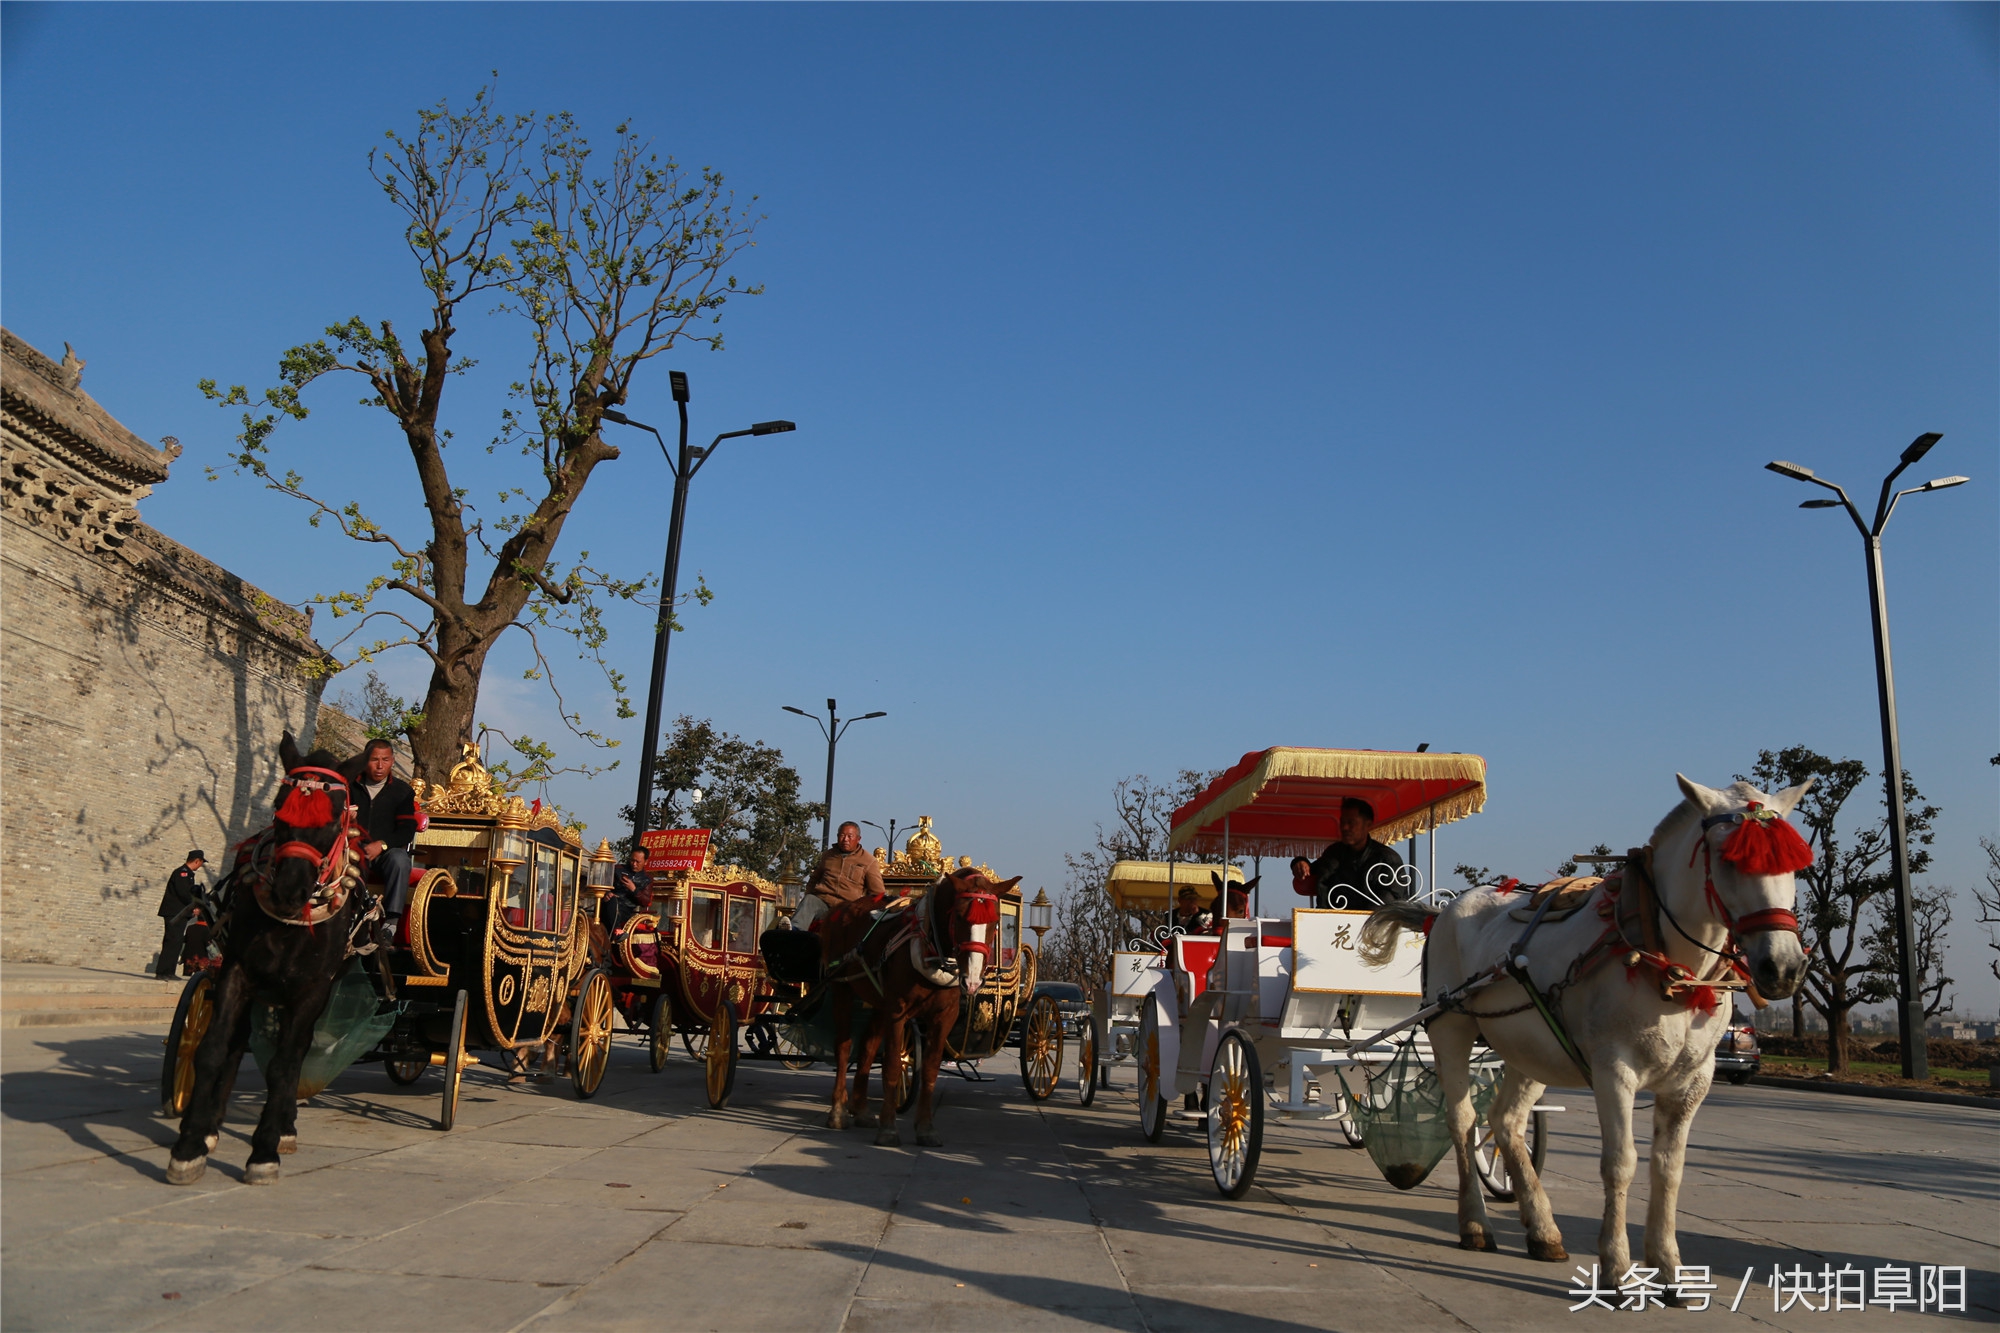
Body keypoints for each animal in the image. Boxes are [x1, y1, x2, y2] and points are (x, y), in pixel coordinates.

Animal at [166, 732, 366, 1176]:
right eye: (278, 807)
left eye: (335, 818)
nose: (289, 890)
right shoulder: (237, 972)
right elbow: (213, 1050)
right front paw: (190, 1144)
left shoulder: (311, 989)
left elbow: (284, 1064)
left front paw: (264, 1149)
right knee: (237, 1042)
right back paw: (211, 1124)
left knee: (295, 1054)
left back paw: (284, 1127)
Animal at [820, 860, 1024, 1144]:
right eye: (959, 916)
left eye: (995, 922)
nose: (972, 979)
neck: (933, 949)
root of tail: (842, 909)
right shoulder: (898, 1011)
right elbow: (893, 1065)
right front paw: (888, 1128)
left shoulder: (944, 1016)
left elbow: (930, 1069)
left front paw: (926, 1128)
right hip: (842, 988)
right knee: (843, 1046)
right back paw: (838, 1110)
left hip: (878, 1002)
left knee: (867, 1048)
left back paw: (861, 1110)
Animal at [1360, 772, 1816, 1280]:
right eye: (1730, 859)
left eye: (1794, 864)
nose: (1784, 968)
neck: (1667, 963)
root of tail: (1444, 912)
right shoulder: (1614, 1070)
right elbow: (1621, 1163)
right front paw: (1616, 1266)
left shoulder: (1694, 1080)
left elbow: (1669, 1168)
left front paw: (1669, 1267)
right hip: (1450, 1027)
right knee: (1463, 1122)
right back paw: (1476, 1223)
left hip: (1527, 1047)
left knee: (1506, 1121)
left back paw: (1542, 1230)